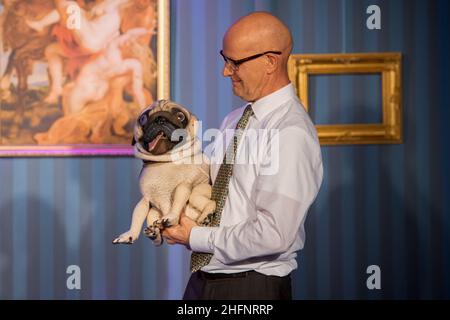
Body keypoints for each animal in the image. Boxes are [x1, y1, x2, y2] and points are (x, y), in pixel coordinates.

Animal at [114, 100, 216, 245]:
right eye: (143, 118)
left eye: (180, 116)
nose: (160, 119)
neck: (164, 161)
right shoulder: (145, 199)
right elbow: (137, 215)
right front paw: (130, 234)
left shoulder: (183, 186)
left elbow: (177, 203)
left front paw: (171, 218)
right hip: (154, 211)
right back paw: (153, 233)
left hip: (200, 190)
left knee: (206, 201)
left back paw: (206, 215)